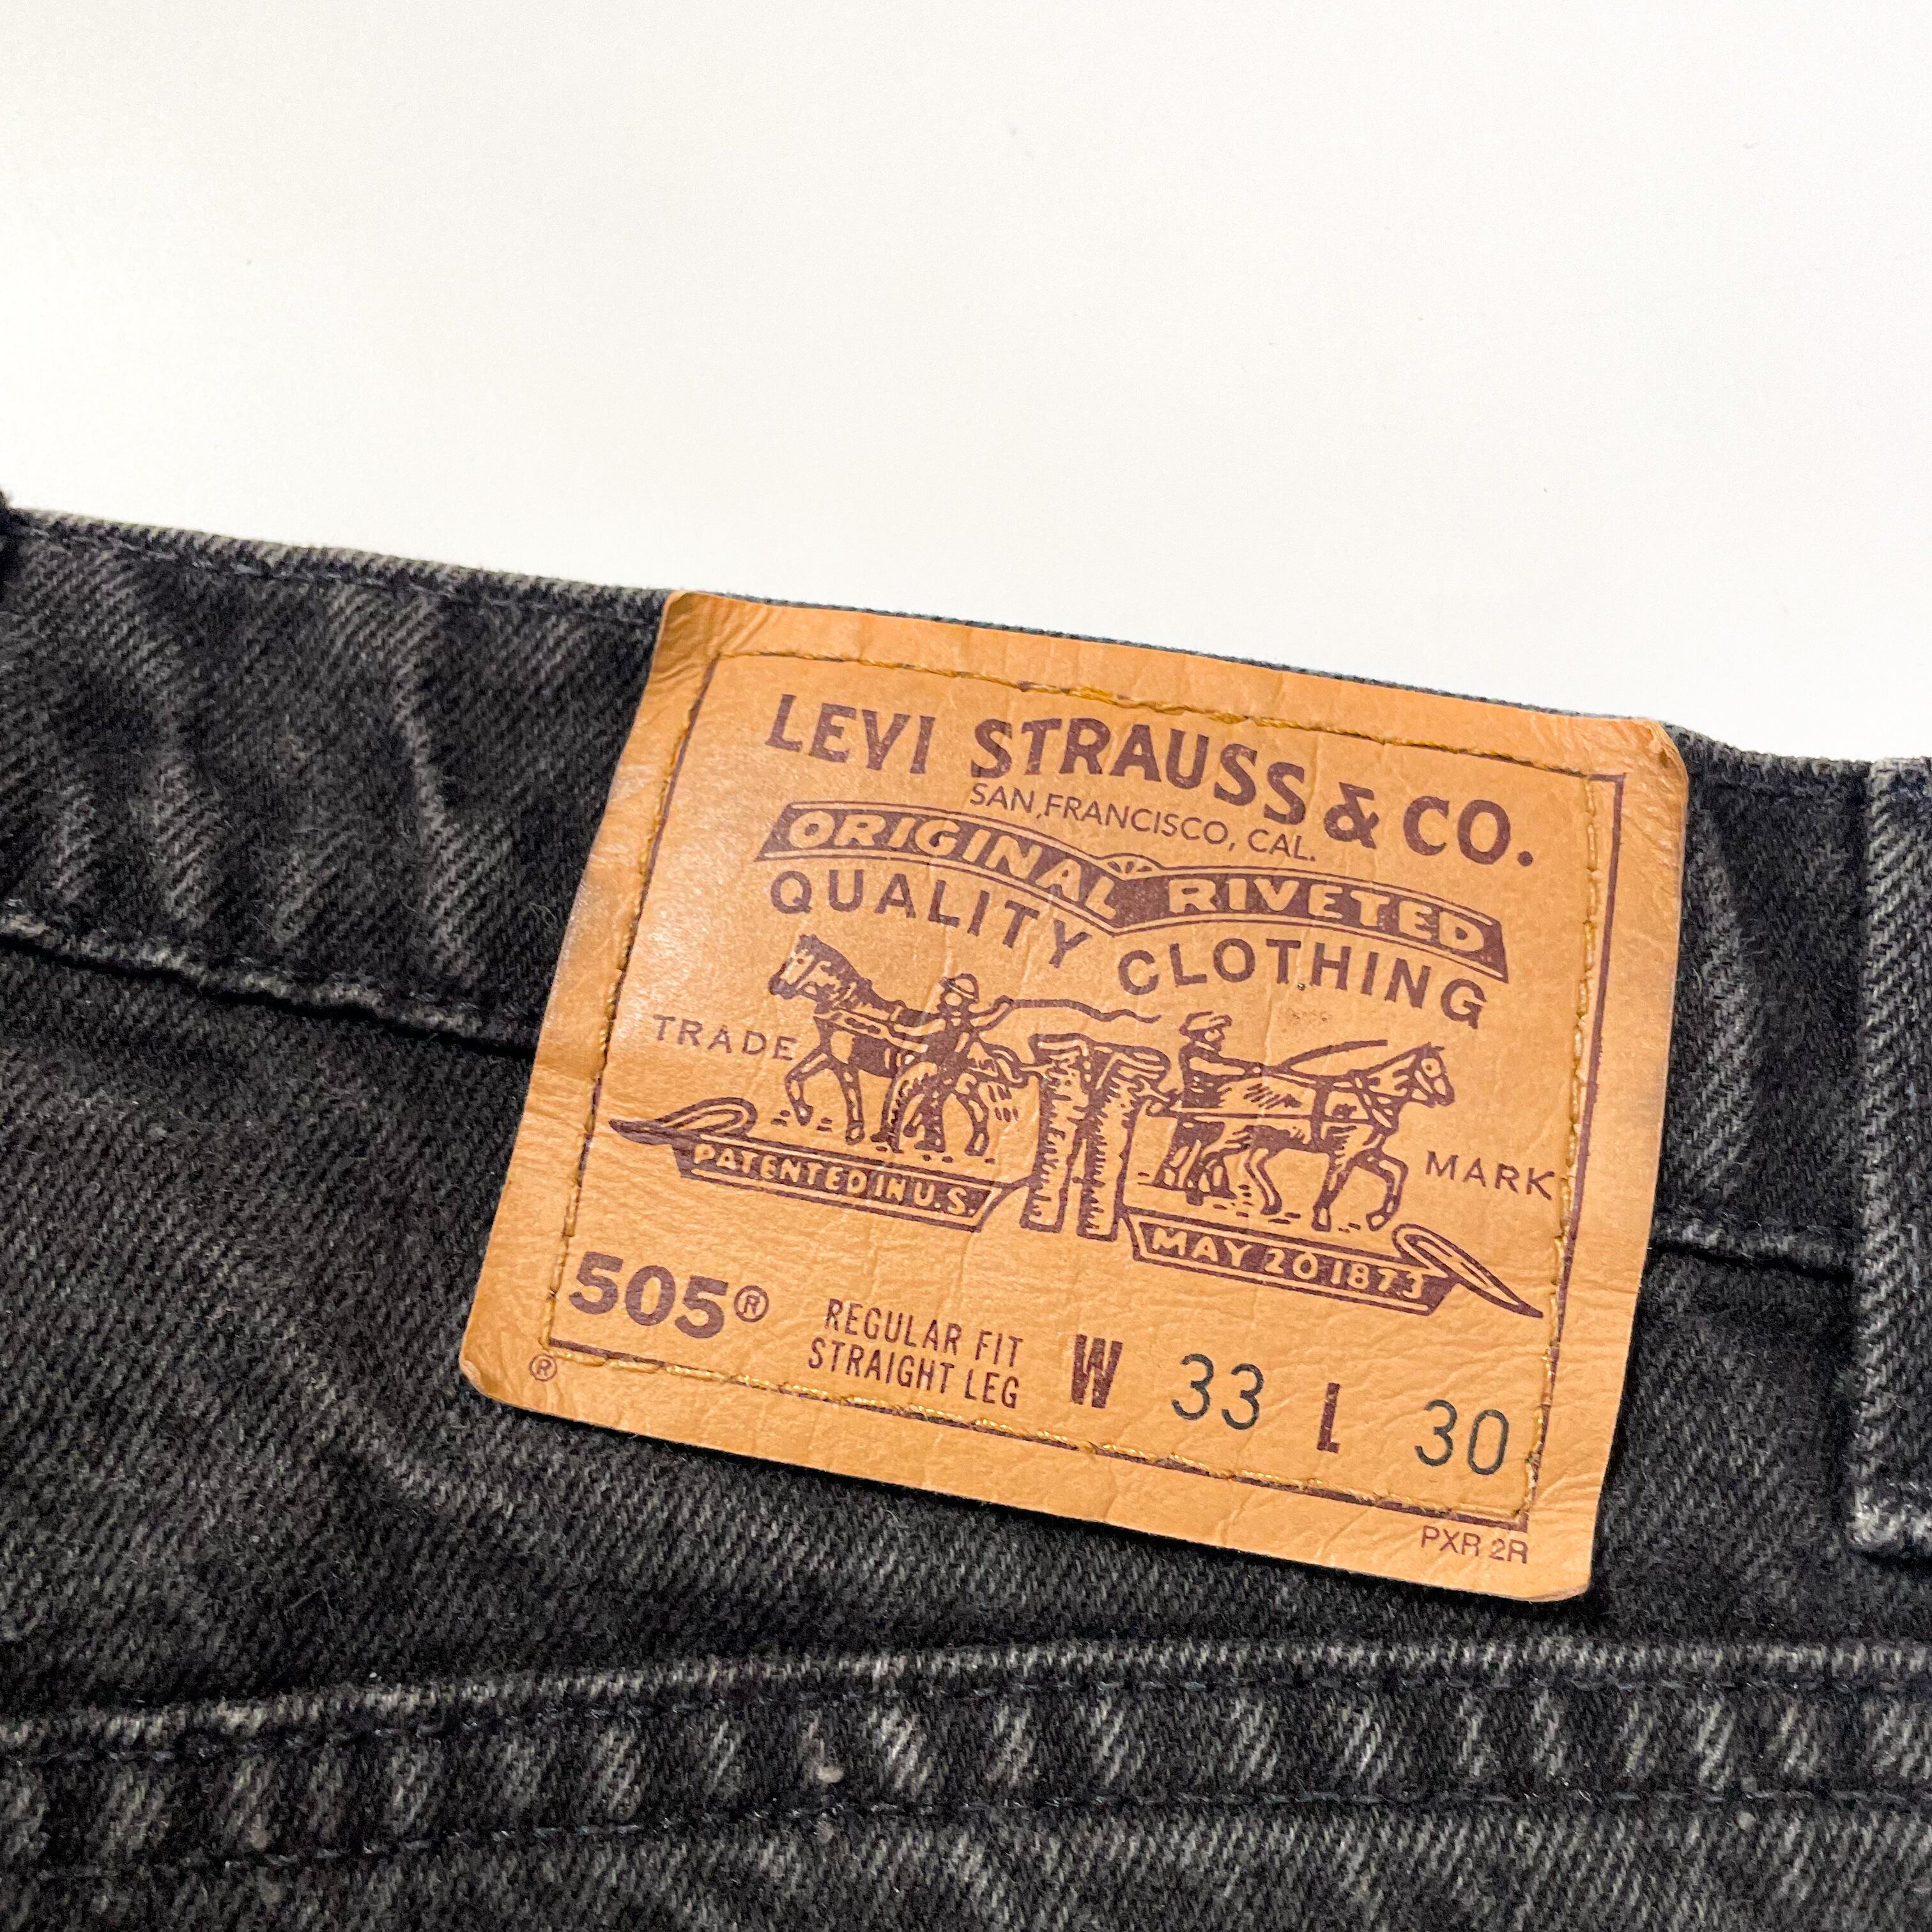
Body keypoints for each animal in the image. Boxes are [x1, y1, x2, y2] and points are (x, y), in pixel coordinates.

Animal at [766, 934, 1022, 1155]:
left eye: (800, 960)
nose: (775, 985)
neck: (849, 1005)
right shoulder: (828, 1053)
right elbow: (794, 1076)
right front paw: (804, 1113)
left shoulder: (844, 1061)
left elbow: (851, 1094)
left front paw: (855, 1132)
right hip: (961, 1085)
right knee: (974, 1110)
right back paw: (958, 1146)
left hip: (957, 1083)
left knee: (971, 1110)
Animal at [1179, 1045, 1454, 1232]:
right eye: (1430, 1067)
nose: (1449, 1097)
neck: (1369, 1100)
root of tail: (1231, 1086)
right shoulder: (1345, 1153)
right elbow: (1333, 1185)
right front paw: (1322, 1220)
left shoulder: (1366, 1154)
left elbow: (1398, 1171)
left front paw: (1377, 1218)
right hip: (1239, 1133)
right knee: (1209, 1154)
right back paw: (1193, 1193)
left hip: (1271, 1140)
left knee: (1252, 1163)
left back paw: (1271, 1203)